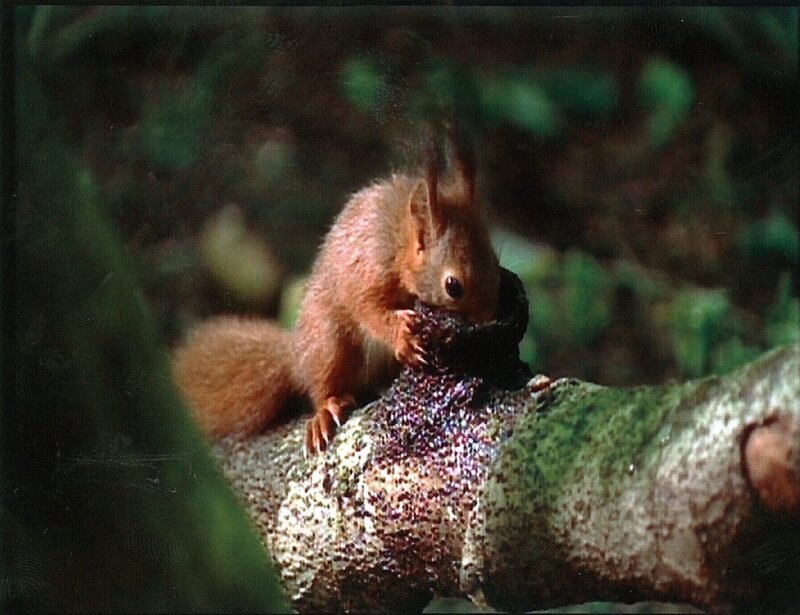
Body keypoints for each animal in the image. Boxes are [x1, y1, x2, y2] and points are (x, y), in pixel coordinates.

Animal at [172, 139, 501, 454]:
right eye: (453, 286)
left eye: (496, 262)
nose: (491, 320)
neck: (398, 242)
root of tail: (296, 353)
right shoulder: (367, 271)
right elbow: (369, 311)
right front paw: (402, 335)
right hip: (328, 341)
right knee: (321, 383)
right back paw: (325, 411)